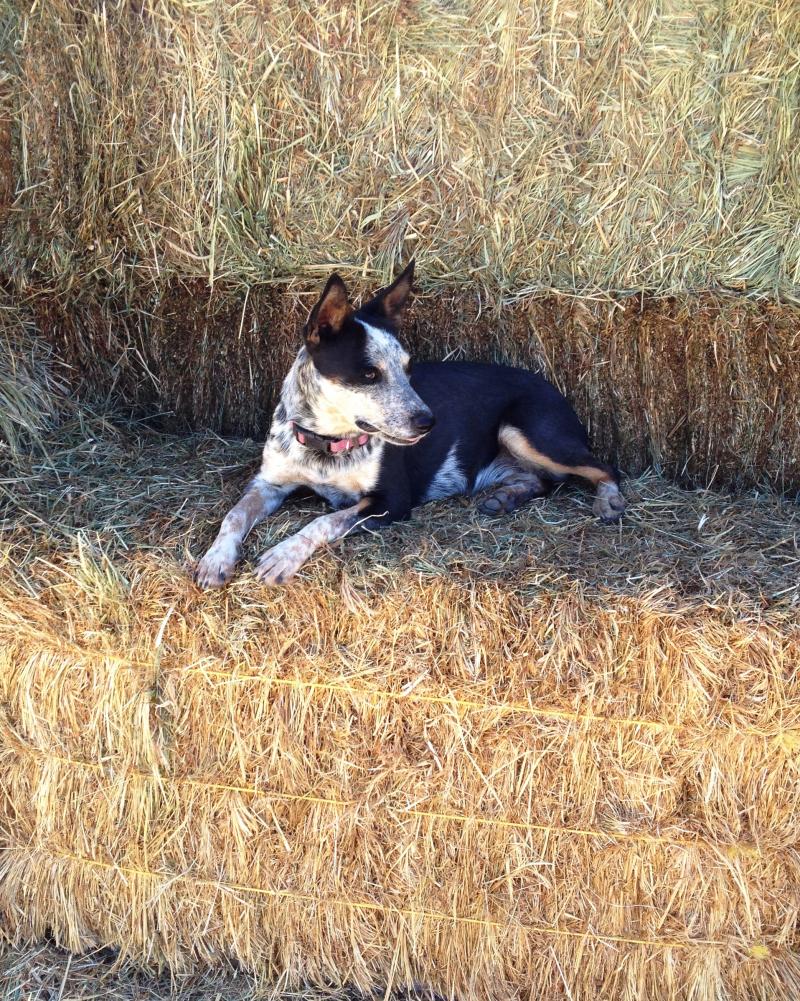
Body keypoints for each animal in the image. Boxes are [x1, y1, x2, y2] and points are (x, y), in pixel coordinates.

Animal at [194, 261, 626, 588]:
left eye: (407, 367)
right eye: (369, 374)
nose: (428, 422)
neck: (326, 442)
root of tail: (553, 387)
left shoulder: (392, 501)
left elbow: (324, 520)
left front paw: (283, 554)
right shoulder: (269, 483)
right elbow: (234, 515)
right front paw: (215, 559)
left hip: (526, 432)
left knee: (602, 467)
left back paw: (608, 500)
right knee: (541, 481)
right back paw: (506, 497)